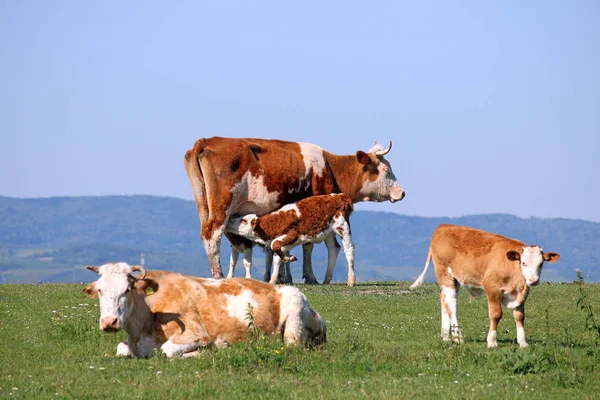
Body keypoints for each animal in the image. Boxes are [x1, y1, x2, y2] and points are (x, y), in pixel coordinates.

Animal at [82, 260, 326, 358]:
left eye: (126, 290)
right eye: (100, 290)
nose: (109, 322)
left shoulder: (196, 333)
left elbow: (167, 350)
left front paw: (202, 353)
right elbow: (121, 349)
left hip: (294, 318)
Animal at [185, 138, 406, 282]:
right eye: (387, 170)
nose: (402, 192)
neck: (330, 168)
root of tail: (207, 141)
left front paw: (284, 277)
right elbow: (308, 246)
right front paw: (309, 277)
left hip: (203, 204)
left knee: (206, 234)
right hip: (222, 206)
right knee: (213, 234)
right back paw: (218, 275)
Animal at [410, 223, 560, 348]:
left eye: (541, 264)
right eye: (523, 263)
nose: (533, 280)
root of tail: (443, 226)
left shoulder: (521, 294)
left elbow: (519, 316)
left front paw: (523, 342)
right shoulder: (492, 288)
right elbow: (496, 315)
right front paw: (492, 341)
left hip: (454, 279)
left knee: (444, 301)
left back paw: (446, 336)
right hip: (445, 276)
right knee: (451, 305)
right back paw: (458, 338)